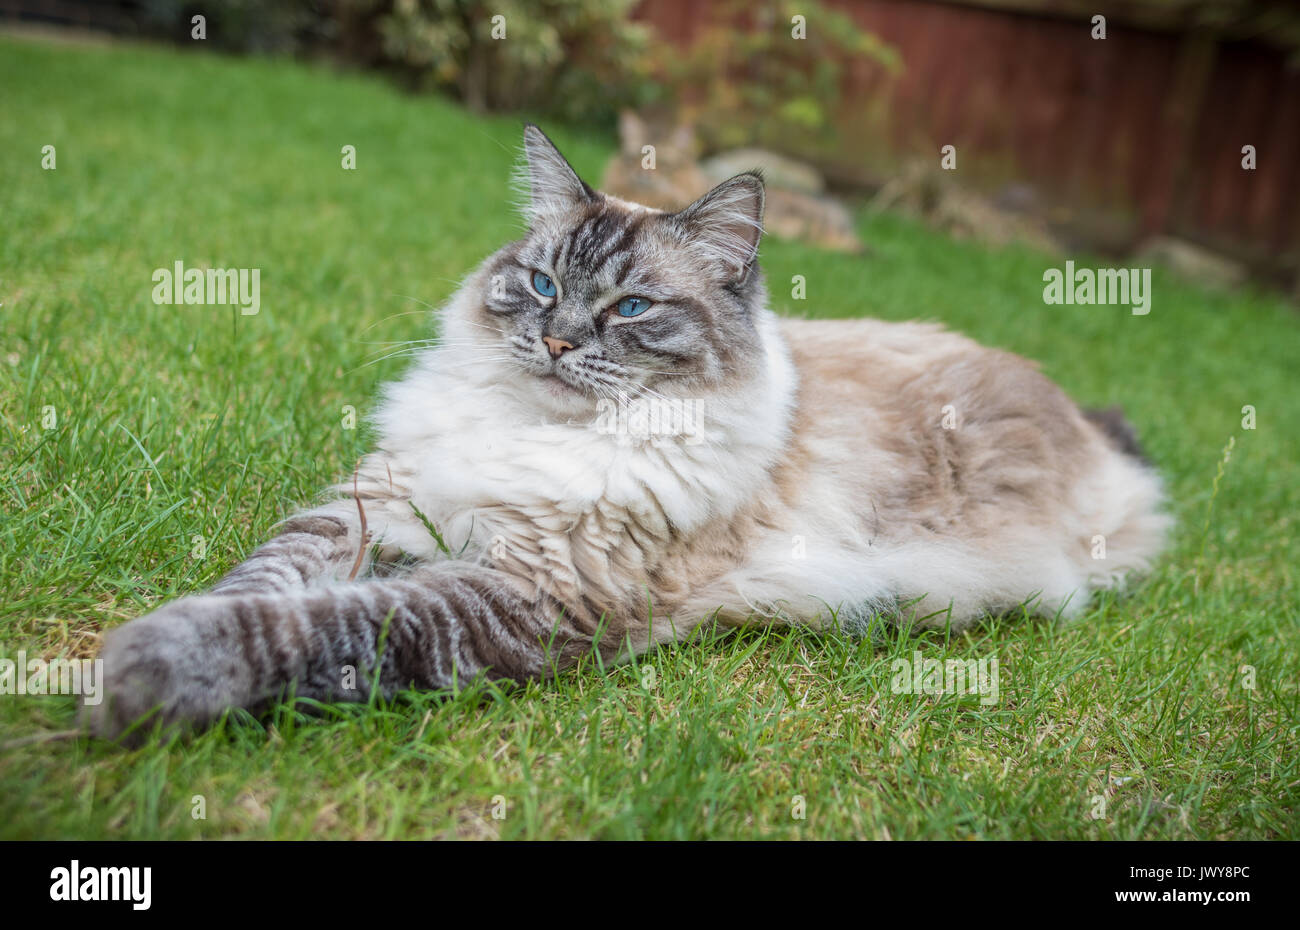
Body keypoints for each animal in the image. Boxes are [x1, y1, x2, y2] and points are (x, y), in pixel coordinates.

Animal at [86, 125, 1175, 744]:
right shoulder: (376, 503)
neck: (539, 431)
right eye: (540, 285)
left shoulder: (523, 589)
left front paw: (140, 676)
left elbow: (320, 626)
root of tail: (1076, 415)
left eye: (631, 308)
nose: (558, 339)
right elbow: (264, 582)